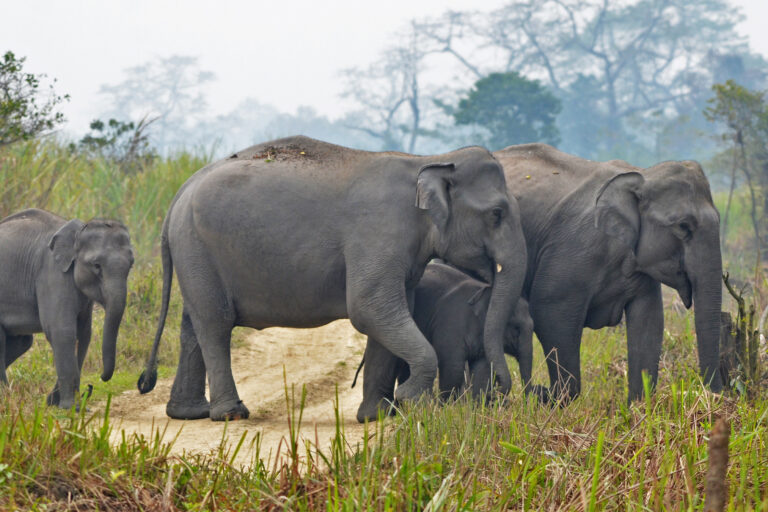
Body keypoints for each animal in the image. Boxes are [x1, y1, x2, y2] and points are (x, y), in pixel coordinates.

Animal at [0, 207, 134, 408]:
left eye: (131, 265)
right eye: (96, 265)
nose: (98, 380)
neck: (78, 232)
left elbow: (83, 333)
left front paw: (61, 404)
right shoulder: (51, 273)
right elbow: (62, 331)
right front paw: (69, 407)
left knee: (22, 342)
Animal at [135, 135, 524, 420]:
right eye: (497, 213)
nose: (503, 396)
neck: (429, 159)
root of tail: (181, 192)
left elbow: (391, 313)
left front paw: (377, 416)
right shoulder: (377, 233)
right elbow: (369, 309)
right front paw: (409, 398)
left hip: (194, 252)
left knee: (193, 323)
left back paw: (188, 413)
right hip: (198, 247)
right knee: (215, 324)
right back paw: (231, 414)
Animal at [496, 145, 724, 404]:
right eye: (683, 226)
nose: (712, 396)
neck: (642, 174)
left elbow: (649, 323)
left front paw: (638, 407)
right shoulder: (572, 252)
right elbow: (550, 315)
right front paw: (549, 397)